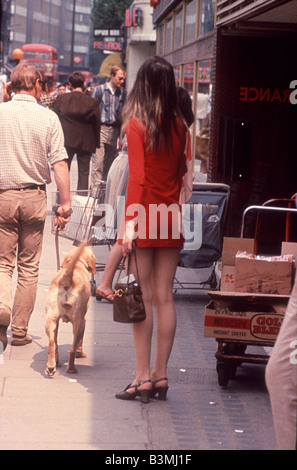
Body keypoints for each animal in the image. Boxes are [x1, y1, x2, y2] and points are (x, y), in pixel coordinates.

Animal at [44, 241, 95, 376]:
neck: (77, 264)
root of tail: (67, 280)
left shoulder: (56, 321)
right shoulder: (84, 320)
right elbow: (80, 342)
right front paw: (80, 353)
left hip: (50, 321)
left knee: (52, 343)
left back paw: (52, 366)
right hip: (79, 322)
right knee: (72, 349)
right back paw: (71, 368)